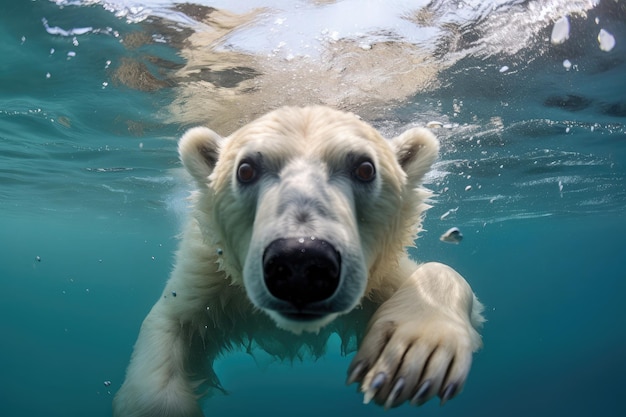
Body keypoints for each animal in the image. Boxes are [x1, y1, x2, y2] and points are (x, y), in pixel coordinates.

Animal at [113, 105, 482, 414]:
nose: (302, 260)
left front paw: (413, 352)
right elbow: (172, 323)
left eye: (365, 168)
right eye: (246, 169)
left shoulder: (376, 277)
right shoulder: (208, 273)